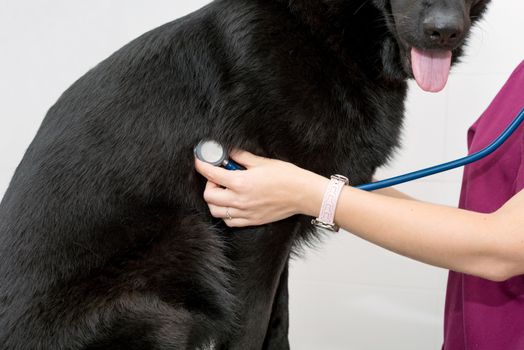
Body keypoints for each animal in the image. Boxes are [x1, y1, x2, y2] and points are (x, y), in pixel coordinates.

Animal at [0, 0, 492, 348]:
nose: (444, 31)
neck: (321, 35)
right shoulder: (255, 235)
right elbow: (251, 328)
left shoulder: (280, 220)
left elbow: (279, 325)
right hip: (186, 252)